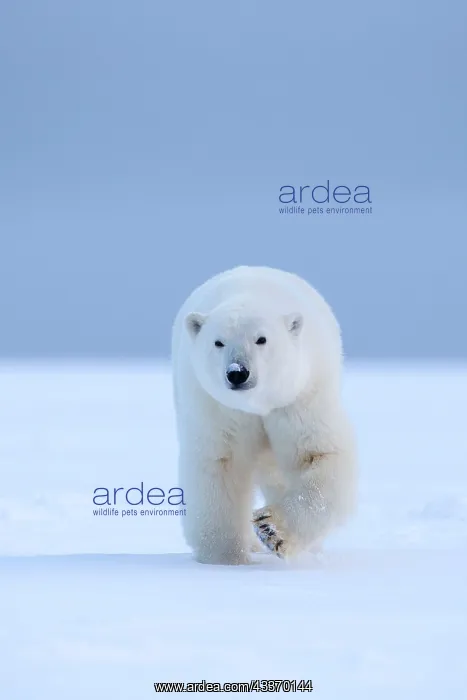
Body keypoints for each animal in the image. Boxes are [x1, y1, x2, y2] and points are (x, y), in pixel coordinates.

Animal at [171, 266, 357, 565]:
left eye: (261, 339)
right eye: (218, 342)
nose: (237, 372)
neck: (256, 405)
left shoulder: (299, 397)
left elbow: (320, 454)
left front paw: (272, 529)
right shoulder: (218, 410)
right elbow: (220, 464)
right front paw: (225, 557)